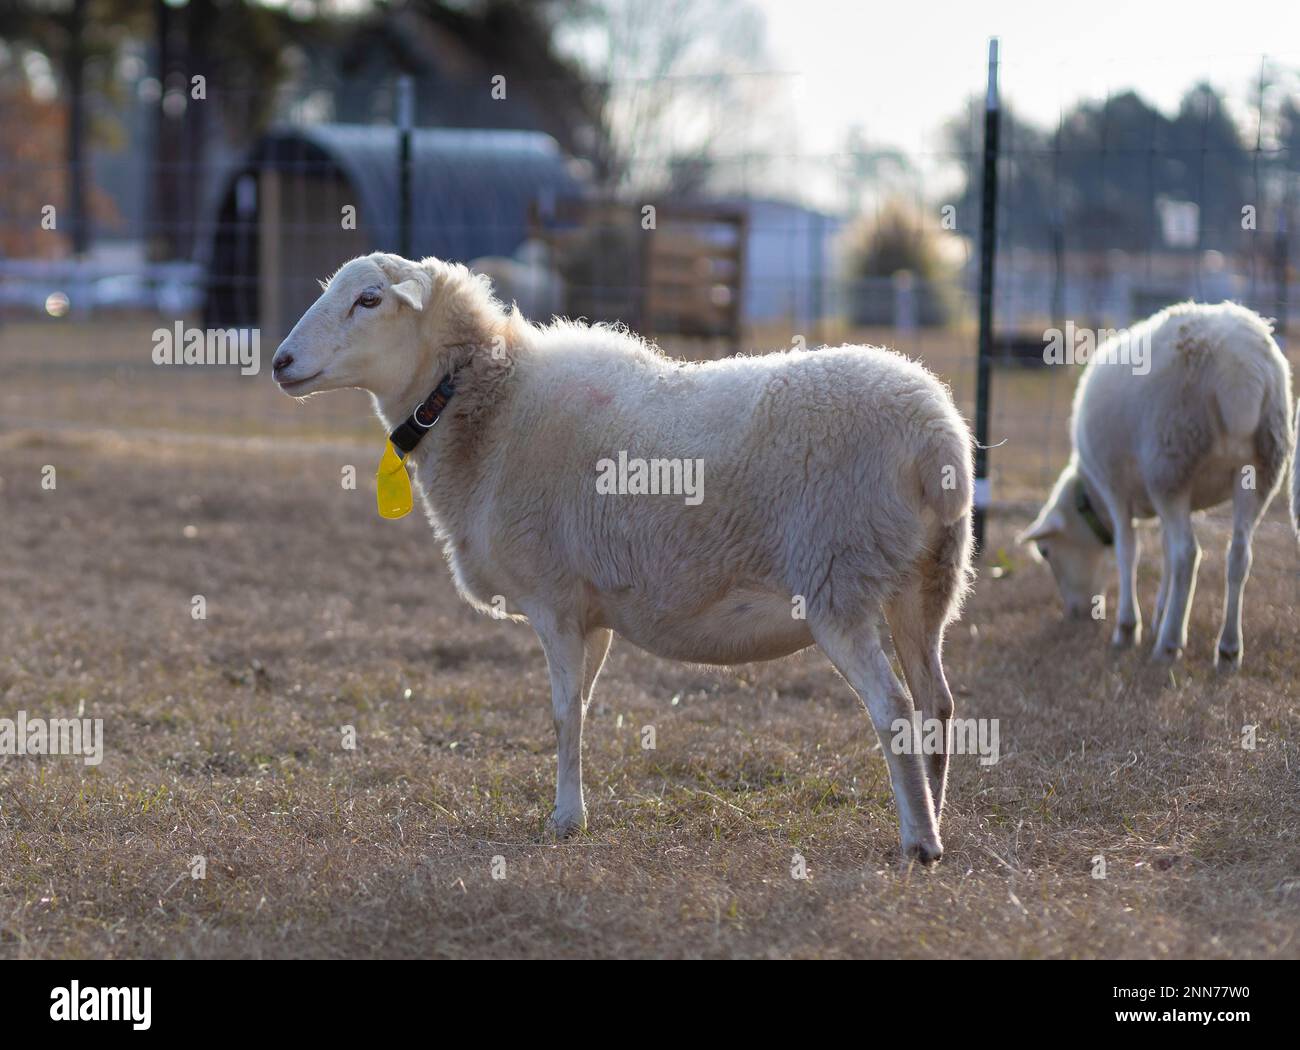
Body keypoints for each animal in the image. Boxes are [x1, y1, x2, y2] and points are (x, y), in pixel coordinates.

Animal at [269, 252, 972, 862]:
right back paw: (936, 816)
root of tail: (936, 439)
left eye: (369, 299)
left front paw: (564, 820)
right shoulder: (592, 611)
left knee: (894, 707)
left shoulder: (552, 598)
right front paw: (574, 808)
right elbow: (580, 709)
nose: (279, 361)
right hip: (926, 582)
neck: (487, 407)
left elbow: (561, 715)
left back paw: (920, 842)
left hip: (837, 581)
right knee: (935, 703)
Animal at [1024, 298, 1289, 670]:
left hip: (1171, 458)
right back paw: (1227, 650)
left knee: (1188, 553)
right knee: (1237, 555)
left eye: (1046, 552)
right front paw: (1161, 613)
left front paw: (1127, 629)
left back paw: (1169, 644)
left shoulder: (1115, 487)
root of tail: (1241, 371)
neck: (1091, 496)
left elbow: (1128, 551)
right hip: (1260, 466)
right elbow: (1165, 551)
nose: (1075, 614)